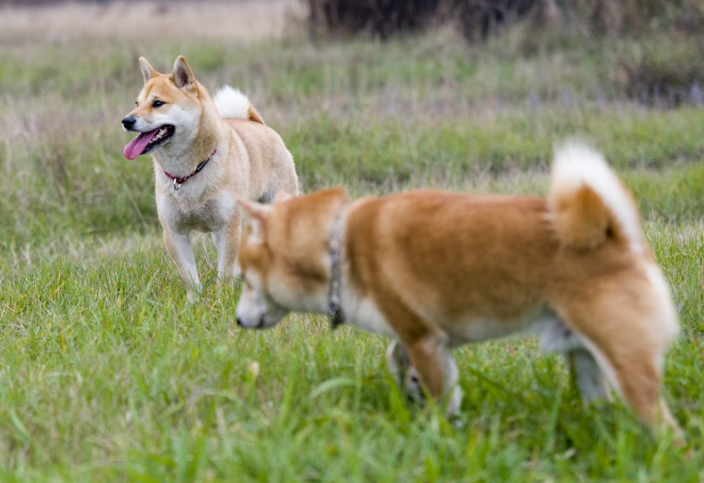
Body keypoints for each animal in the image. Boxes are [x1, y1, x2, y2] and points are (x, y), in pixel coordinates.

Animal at [122, 56, 298, 298]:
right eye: (137, 103)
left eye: (158, 103)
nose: (126, 121)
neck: (187, 173)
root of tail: (258, 124)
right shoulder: (174, 232)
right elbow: (189, 276)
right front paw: (194, 301)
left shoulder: (227, 227)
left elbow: (224, 273)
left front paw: (221, 299)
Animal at [236, 142, 680, 436]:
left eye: (244, 276)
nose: (237, 320)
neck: (337, 246)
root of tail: (615, 235)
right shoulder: (417, 335)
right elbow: (396, 357)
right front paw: (409, 390)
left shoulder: (426, 340)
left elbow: (439, 395)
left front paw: (438, 433)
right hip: (584, 357)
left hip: (623, 361)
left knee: (666, 428)